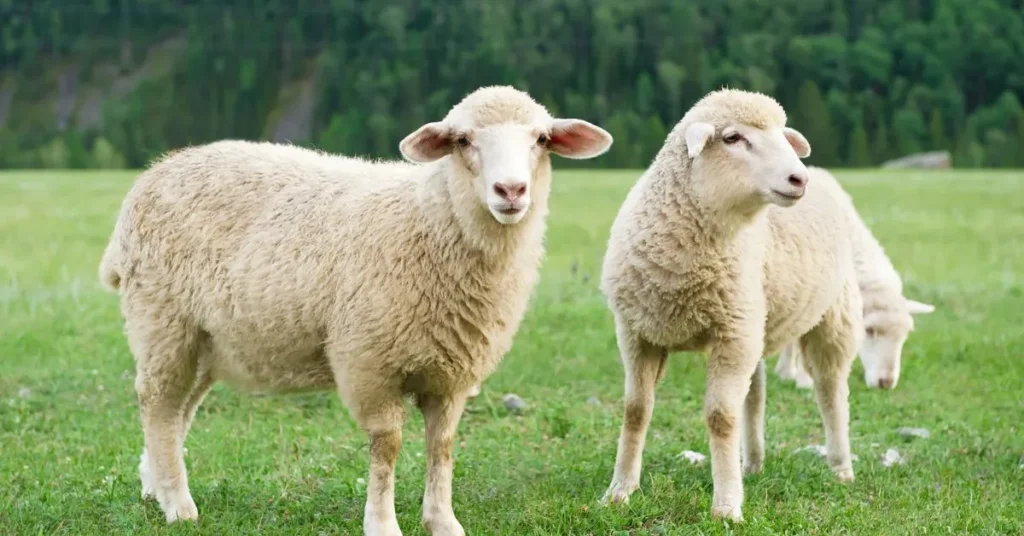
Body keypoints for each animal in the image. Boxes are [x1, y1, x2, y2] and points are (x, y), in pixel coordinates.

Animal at [97, 85, 612, 536]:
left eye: (541, 139)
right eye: (463, 140)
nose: (511, 191)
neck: (431, 222)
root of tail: (154, 173)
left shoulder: (452, 373)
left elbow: (442, 446)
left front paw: (443, 522)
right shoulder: (370, 363)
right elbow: (387, 446)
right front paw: (382, 524)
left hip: (207, 339)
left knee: (177, 411)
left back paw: (155, 486)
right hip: (162, 320)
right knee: (159, 404)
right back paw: (178, 505)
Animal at [598, 88, 864, 522]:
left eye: (783, 136)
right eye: (733, 138)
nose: (798, 179)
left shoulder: (731, 334)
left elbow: (721, 418)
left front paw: (726, 505)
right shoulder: (637, 332)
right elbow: (635, 410)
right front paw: (620, 490)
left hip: (830, 316)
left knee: (831, 390)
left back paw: (841, 467)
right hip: (755, 321)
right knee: (755, 396)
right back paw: (751, 464)